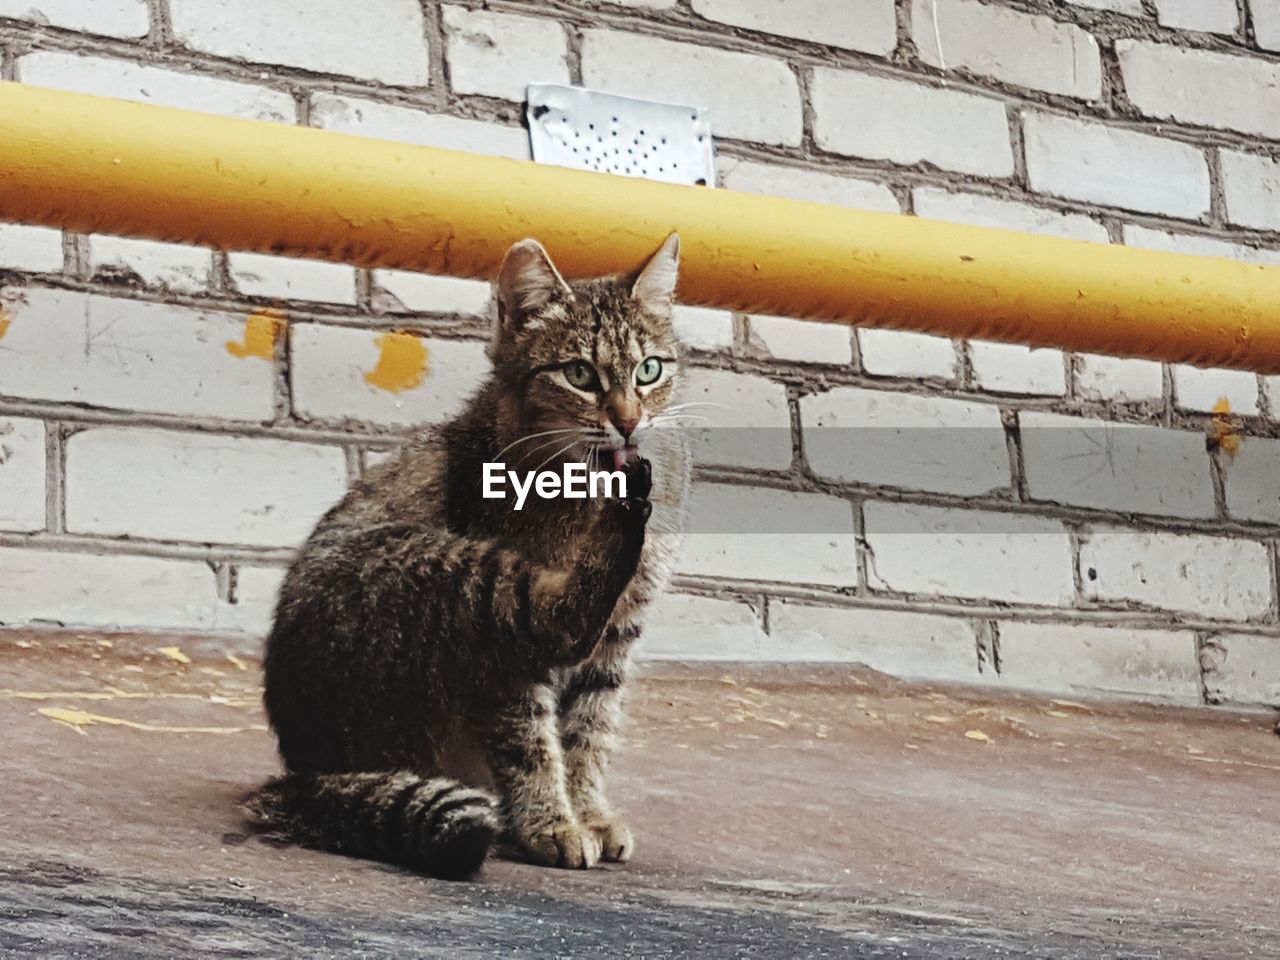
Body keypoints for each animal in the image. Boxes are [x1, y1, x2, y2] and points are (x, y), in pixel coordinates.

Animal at [245, 232, 696, 880]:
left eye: (649, 370)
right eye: (579, 374)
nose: (629, 424)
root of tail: (306, 773)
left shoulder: (619, 636)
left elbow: (589, 733)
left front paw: (589, 812)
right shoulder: (507, 669)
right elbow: (531, 743)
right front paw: (551, 824)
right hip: (435, 573)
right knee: (554, 615)